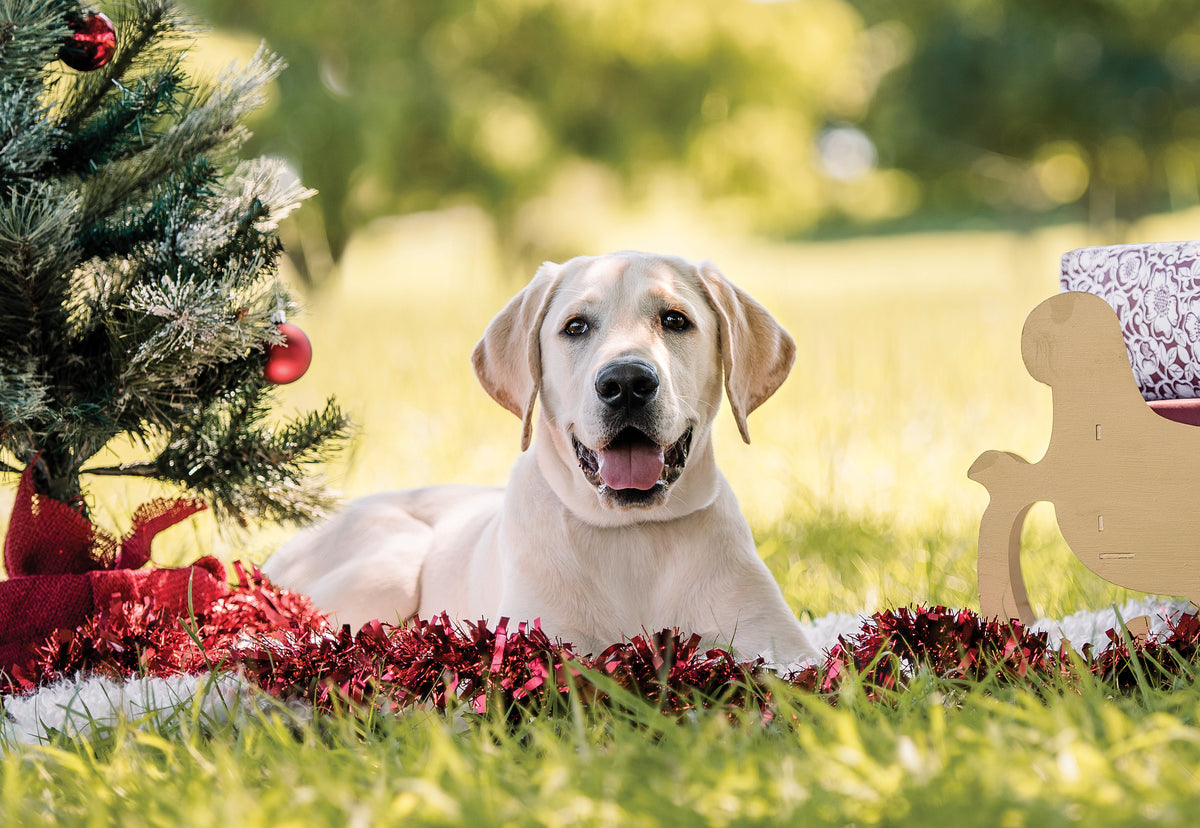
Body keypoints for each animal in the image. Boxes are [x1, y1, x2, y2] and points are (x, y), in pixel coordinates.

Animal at [267, 249, 820, 662]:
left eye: (674, 320)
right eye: (575, 327)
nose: (626, 382)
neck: (632, 538)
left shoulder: (781, 651)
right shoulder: (545, 644)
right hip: (390, 565)